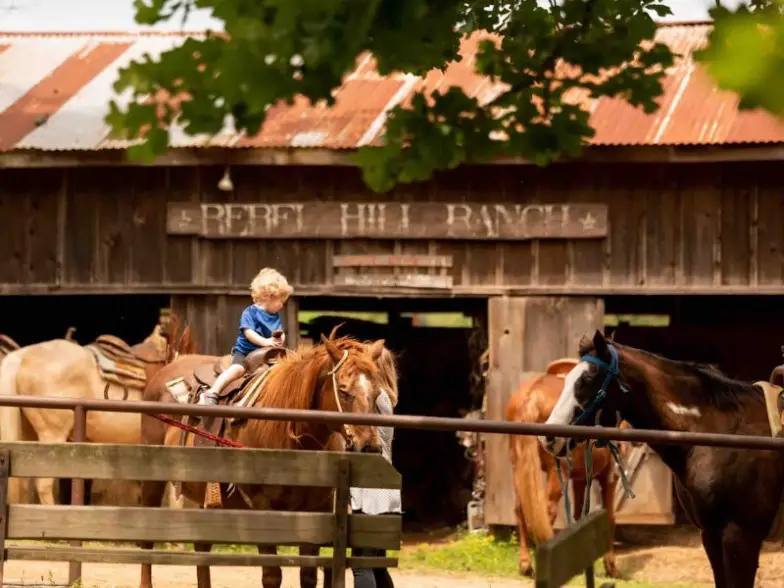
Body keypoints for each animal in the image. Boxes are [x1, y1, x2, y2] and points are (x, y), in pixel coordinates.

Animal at [138, 332, 398, 588]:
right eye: (343, 390)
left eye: (377, 393)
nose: (369, 446)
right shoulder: (262, 507)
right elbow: (272, 575)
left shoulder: (317, 511)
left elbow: (308, 575)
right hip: (152, 482)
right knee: (147, 541)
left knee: (202, 549)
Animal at [506, 357, 628, 578]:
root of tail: (532, 396)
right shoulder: (609, 477)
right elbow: (610, 517)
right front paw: (611, 565)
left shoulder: (579, 479)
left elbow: (579, 515)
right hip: (557, 471)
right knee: (547, 510)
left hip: (518, 467)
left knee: (521, 509)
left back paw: (526, 564)